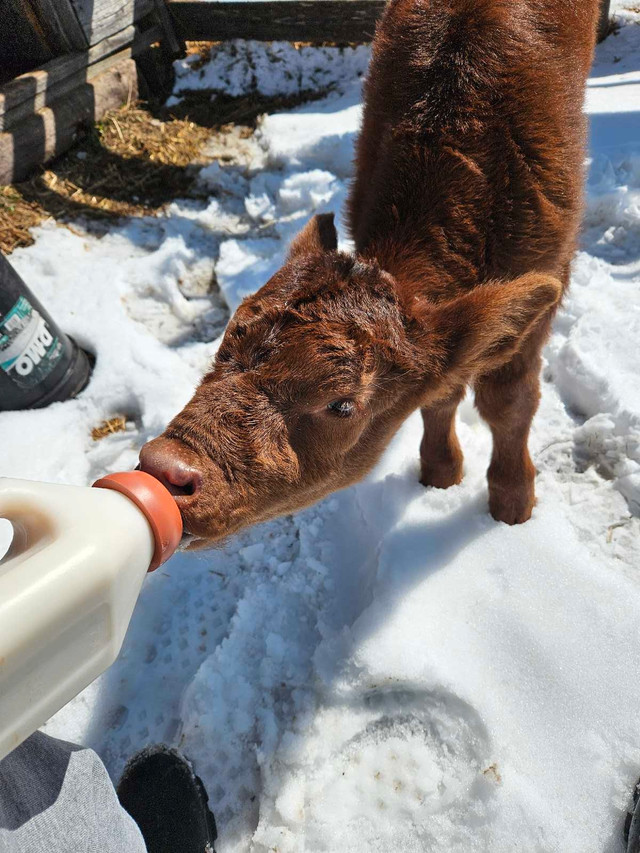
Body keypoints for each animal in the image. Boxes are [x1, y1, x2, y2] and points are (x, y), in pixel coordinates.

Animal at [139, 0, 600, 544]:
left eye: (342, 405)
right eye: (223, 345)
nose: (166, 466)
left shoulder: (547, 277)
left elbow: (508, 401)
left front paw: (512, 505)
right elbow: (442, 391)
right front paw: (440, 473)